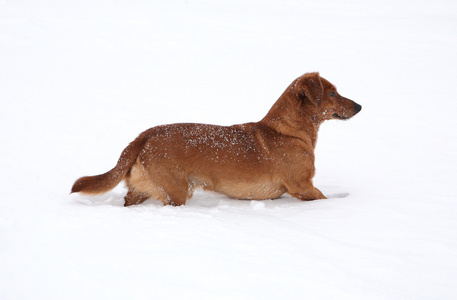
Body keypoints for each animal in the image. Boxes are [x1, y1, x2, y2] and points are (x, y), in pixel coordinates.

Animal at [71, 72, 360, 206]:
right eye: (332, 93)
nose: (359, 106)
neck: (288, 130)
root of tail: (145, 135)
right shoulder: (303, 186)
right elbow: (324, 198)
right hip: (176, 191)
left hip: (144, 189)